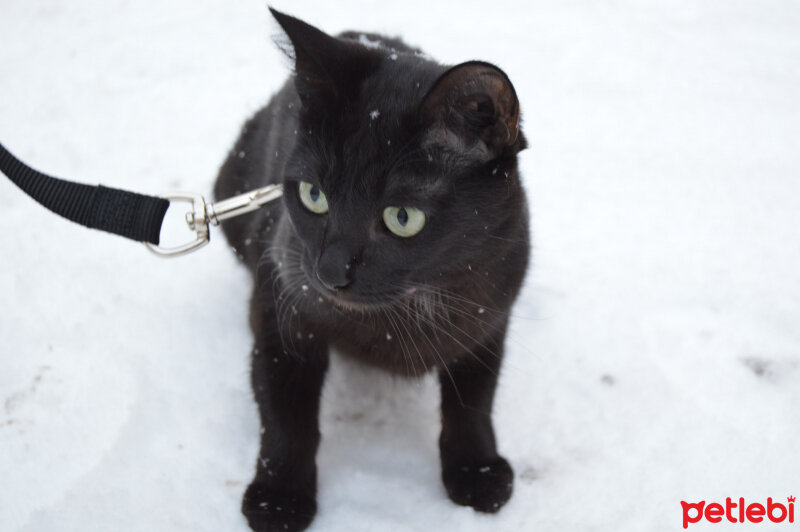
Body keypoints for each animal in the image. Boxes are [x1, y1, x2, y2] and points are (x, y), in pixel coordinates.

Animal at [214, 9, 532, 532]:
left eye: (402, 218)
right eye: (313, 195)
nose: (329, 272)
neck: (400, 313)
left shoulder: (488, 312)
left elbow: (474, 398)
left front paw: (478, 470)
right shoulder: (280, 294)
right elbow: (284, 405)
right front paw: (278, 498)